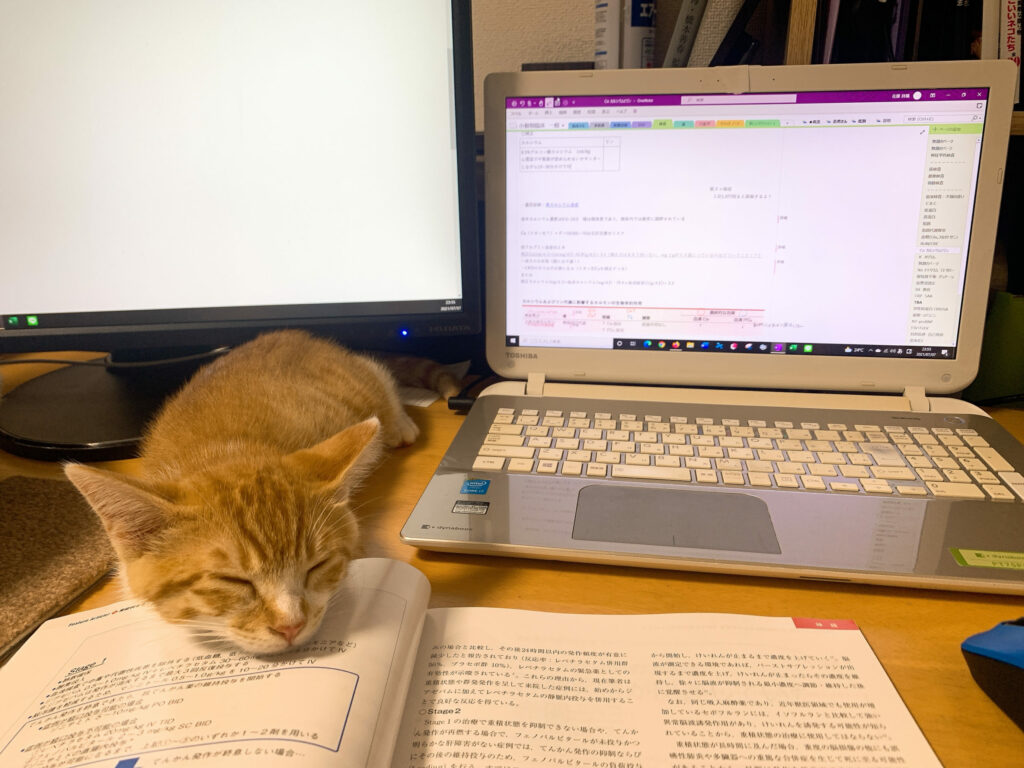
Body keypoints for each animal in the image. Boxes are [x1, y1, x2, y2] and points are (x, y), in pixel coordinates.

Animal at [64, 329, 457, 655]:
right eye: (233, 581)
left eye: (317, 565)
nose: (291, 626)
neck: (227, 451)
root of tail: (293, 334)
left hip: (363, 386)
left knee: (380, 379)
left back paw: (399, 425)